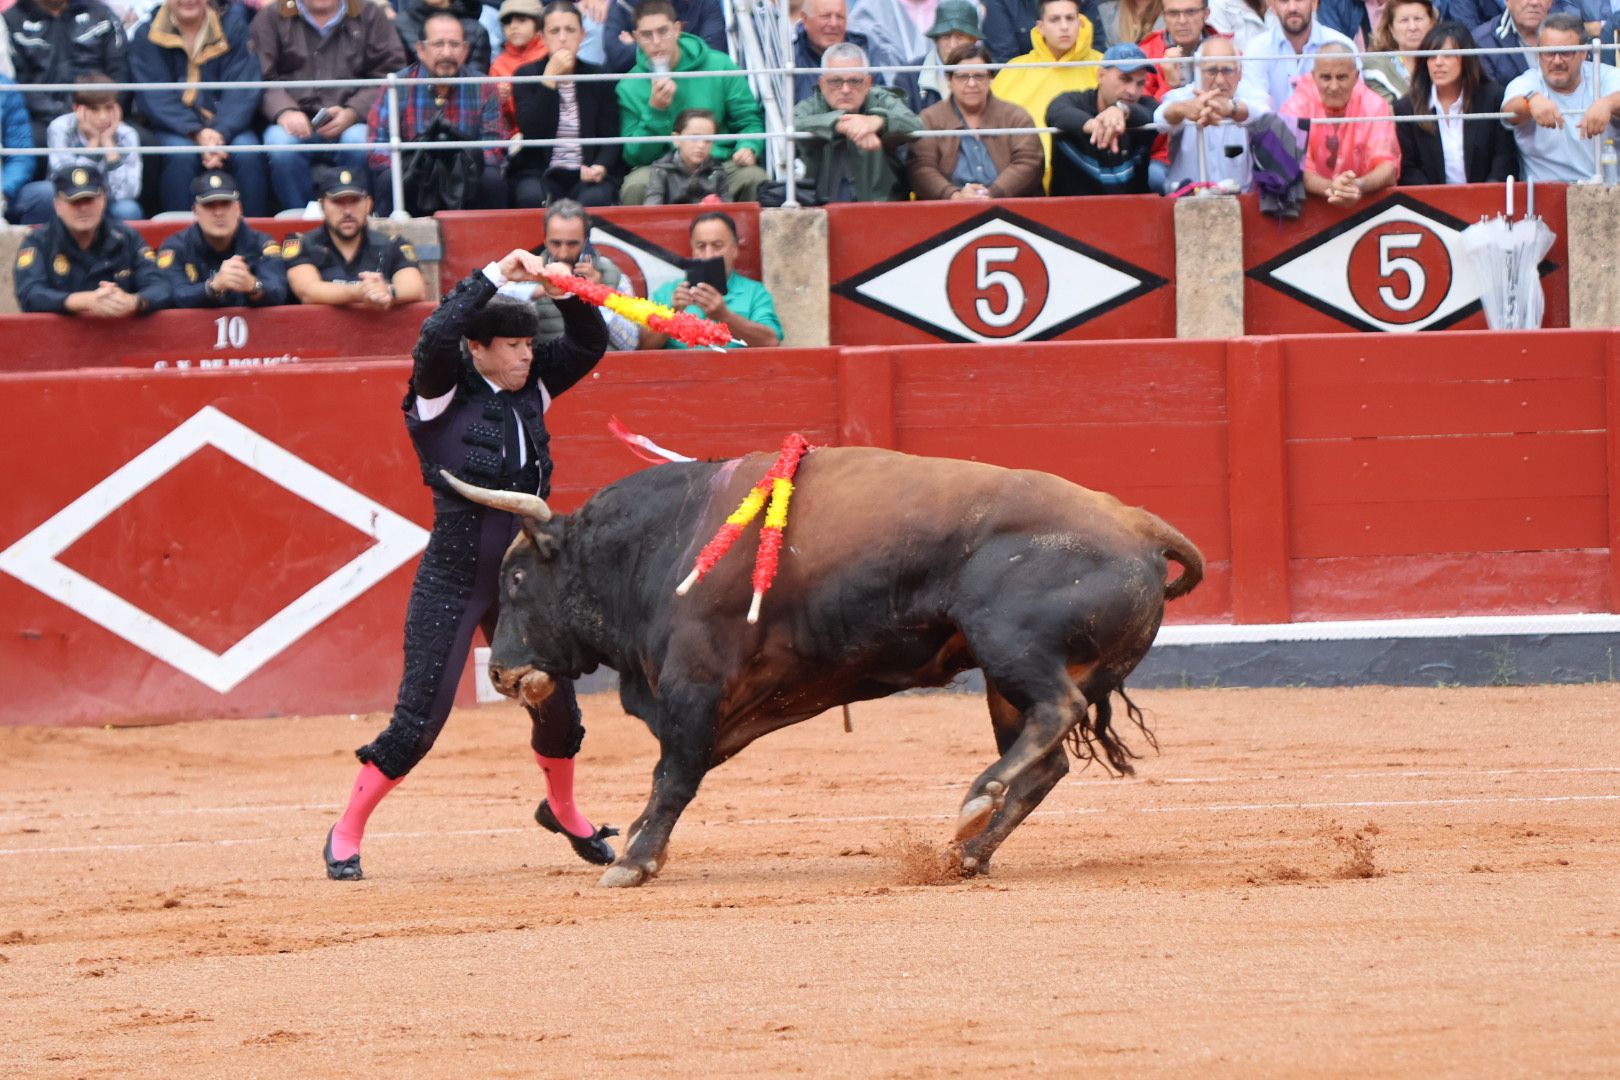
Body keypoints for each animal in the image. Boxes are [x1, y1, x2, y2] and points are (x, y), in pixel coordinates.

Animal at [443, 446, 1205, 887]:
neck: (662, 545)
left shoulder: (693, 684)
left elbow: (673, 776)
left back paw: (974, 803)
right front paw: (637, 849)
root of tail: (1141, 526)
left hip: (1010, 646)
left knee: (1057, 713)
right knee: (1045, 764)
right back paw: (966, 851)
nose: (501, 671)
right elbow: (679, 773)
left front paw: (633, 860)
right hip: (1001, 680)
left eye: (516, 579)